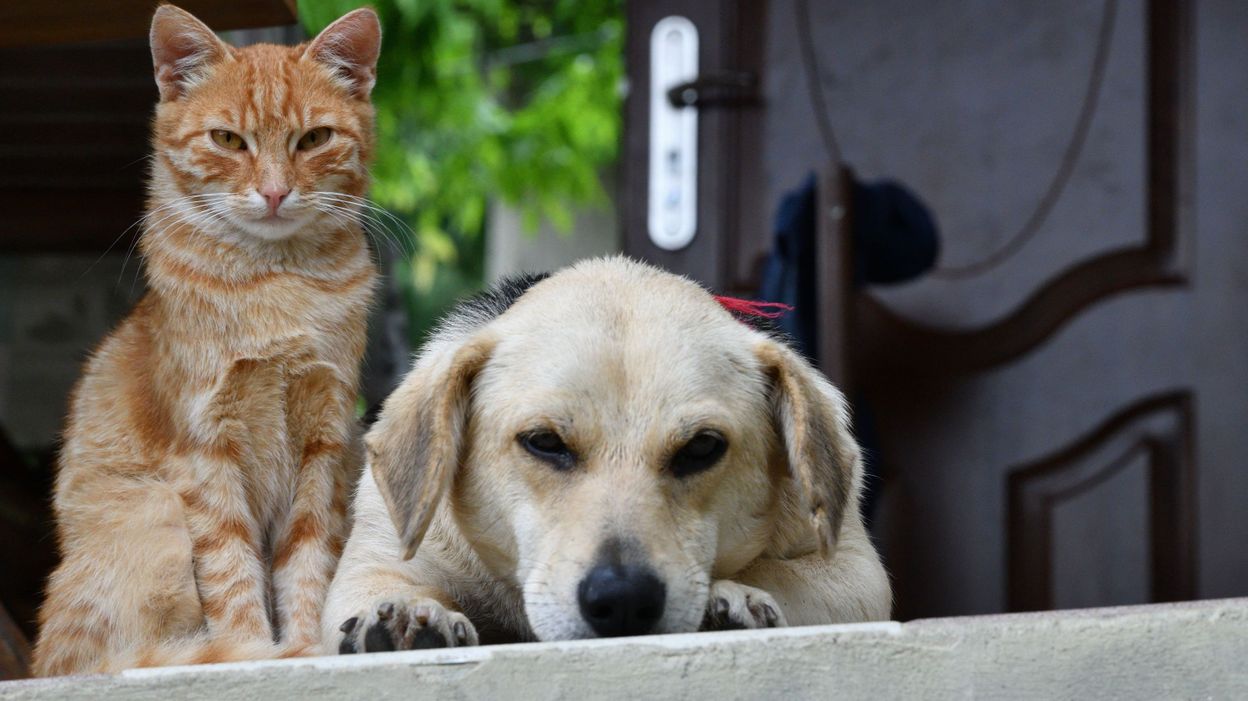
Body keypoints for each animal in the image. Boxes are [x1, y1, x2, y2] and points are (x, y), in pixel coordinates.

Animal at [35, 4, 384, 673]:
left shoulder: (325, 442)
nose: (274, 192)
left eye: (313, 139)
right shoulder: (205, 451)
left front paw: (306, 645)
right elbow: (231, 566)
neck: (275, 284)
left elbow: (307, 559)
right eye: (228, 140)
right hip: (158, 519)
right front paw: (254, 652)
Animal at [321, 256, 888, 648]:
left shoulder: (857, 575)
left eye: (702, 447)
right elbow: (390, 588)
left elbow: (773, 572)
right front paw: (411, 613)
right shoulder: (374, 566)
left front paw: (731, 597)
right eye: (545, 442)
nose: (623, 602)